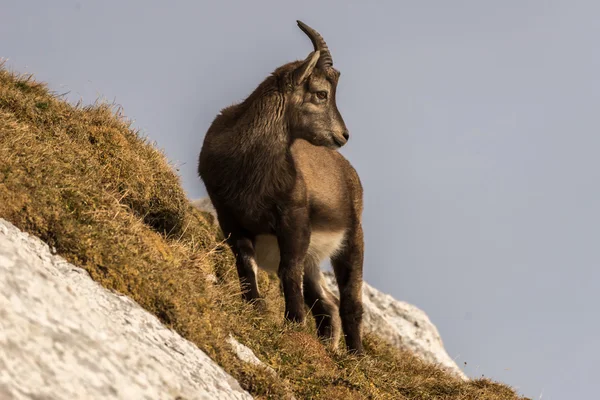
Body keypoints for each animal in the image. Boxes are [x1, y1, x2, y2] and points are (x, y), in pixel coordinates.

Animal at [199, 21, 364, 354]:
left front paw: (293, 322)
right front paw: (255, 307)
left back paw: (355, 356)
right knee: (326, 303)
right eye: (321, 93)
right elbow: (245, 263)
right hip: (316, 258)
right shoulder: (230, 217)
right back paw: (328, 348)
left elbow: (289, 270)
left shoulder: (294, 217)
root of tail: (350, 173)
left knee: (350, 303)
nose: (343, 135)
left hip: (353, 238)